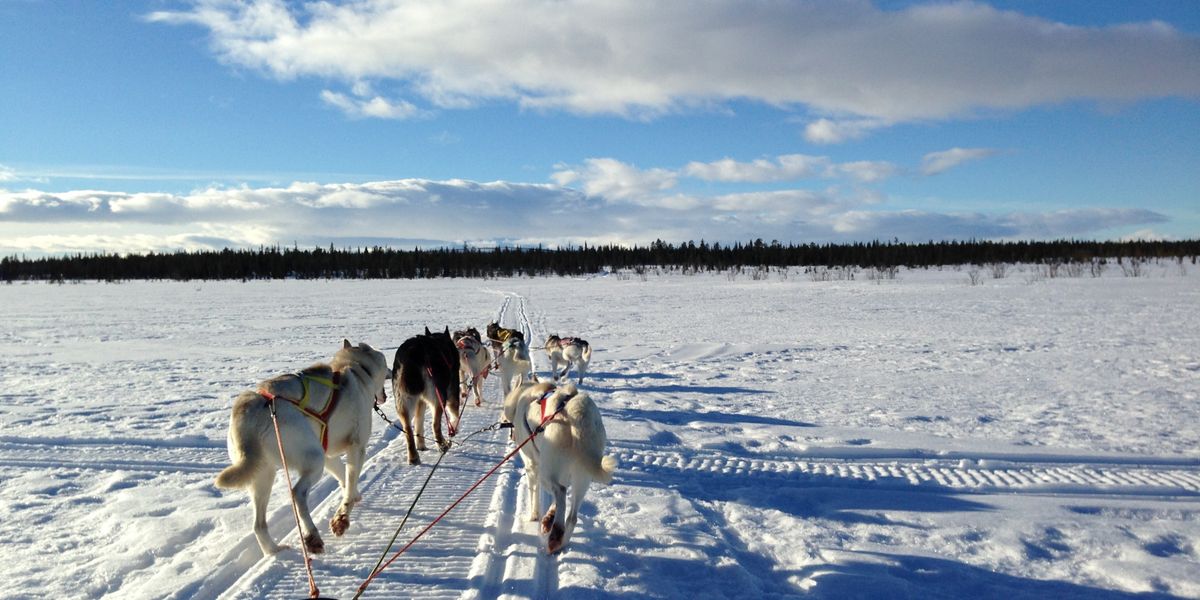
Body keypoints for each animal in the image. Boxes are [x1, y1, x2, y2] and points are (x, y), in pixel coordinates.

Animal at [213, 340, 386, 554]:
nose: (392, 372)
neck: (355, 368)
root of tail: (251, 408)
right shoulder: (357, 447)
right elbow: (350, 480)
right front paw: (343, 517)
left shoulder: (328, 454)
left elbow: (343, 476)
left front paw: (354, 495)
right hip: (314, 461)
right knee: (297, 494)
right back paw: (312, 536)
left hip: (264, 475)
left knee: (259, 525)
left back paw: (275, 550)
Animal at [391, 328, 460, 463]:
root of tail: (416, 350)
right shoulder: (453, 391)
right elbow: (455, 414)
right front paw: (454, 429)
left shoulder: (420, 401)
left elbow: (419, 423)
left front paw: (421, 445)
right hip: (439, 397)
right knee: (435, 424)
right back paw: (443, 445)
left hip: (403, 402)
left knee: (408, 429)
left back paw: (413, 457)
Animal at [499, 379, 614, 552]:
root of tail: (579, 413)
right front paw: (548, 516)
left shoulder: (532, 466)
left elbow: (534, 495)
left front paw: (534, 517)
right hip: (582, 475)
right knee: (571, 516)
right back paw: (560, 539)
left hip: (546, 471)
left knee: (560, 491)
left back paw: (555, 534)